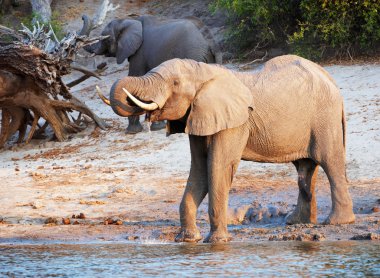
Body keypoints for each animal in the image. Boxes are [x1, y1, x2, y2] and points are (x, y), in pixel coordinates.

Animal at [81, 14, 223, 134]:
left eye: (104, 38)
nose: (82, 17)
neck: (129, 20)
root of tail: (209, 41)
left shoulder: (139, 53)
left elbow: (135, 78)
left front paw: (132, 131)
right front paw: (158, 127)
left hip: (193, 56)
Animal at [95, 54, 356, 243]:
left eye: (175, 83)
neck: (204, 71)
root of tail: (332, 80)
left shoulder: (236, 122)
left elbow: (217, 168)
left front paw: (217, 242)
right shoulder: (198, 114)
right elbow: (199, 171)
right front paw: (187, 240)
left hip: (325, 118)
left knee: (330, 162)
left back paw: (337, 223)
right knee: (305, 169)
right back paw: (296, 222)